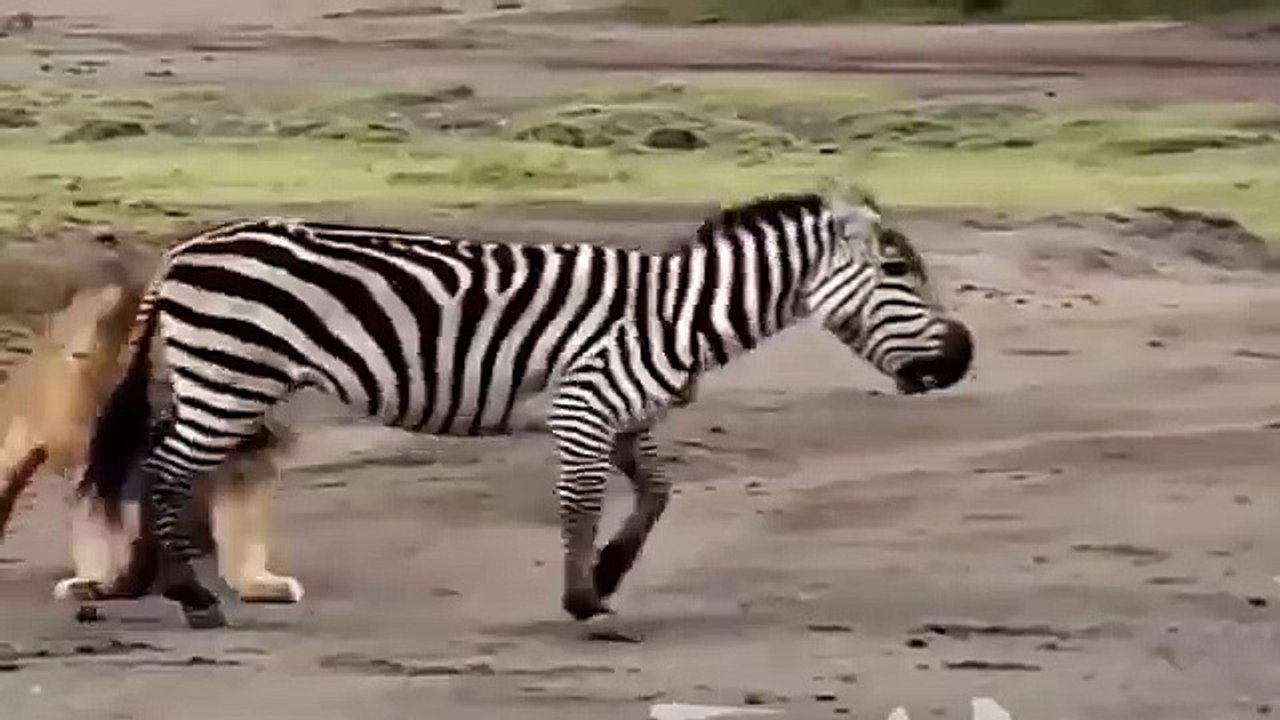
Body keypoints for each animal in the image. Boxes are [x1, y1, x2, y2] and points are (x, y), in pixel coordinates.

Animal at [0, 233, 304, 606]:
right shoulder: (96, 458)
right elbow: (98, 530)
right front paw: (101, 583)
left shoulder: (240, 456)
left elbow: (241, 529)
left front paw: (259, 584)